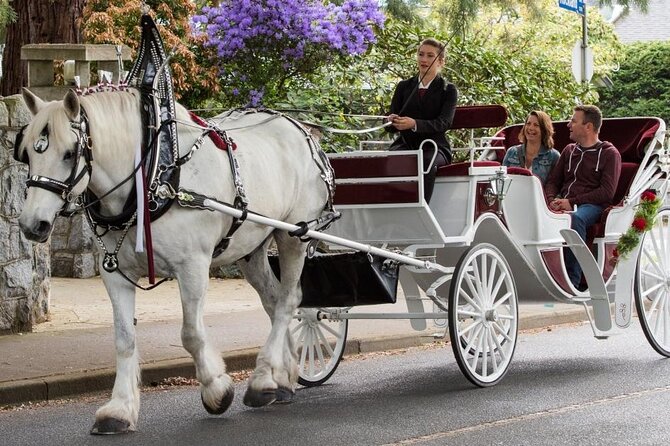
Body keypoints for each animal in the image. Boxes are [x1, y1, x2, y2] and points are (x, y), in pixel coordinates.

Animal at [14, 89, 332, 434]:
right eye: (27, 154)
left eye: (70, 153)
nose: (32, 225)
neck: (154, 176)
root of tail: (301, 129)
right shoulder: (115, 273)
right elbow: (124, 339)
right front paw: (119, 409)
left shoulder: (192, 267)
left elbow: (191, 334)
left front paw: (216, 389)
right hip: (252, 248)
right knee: (274, 302)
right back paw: (282, 378)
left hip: (294, 235)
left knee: (289, 301)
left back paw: (262, 380)